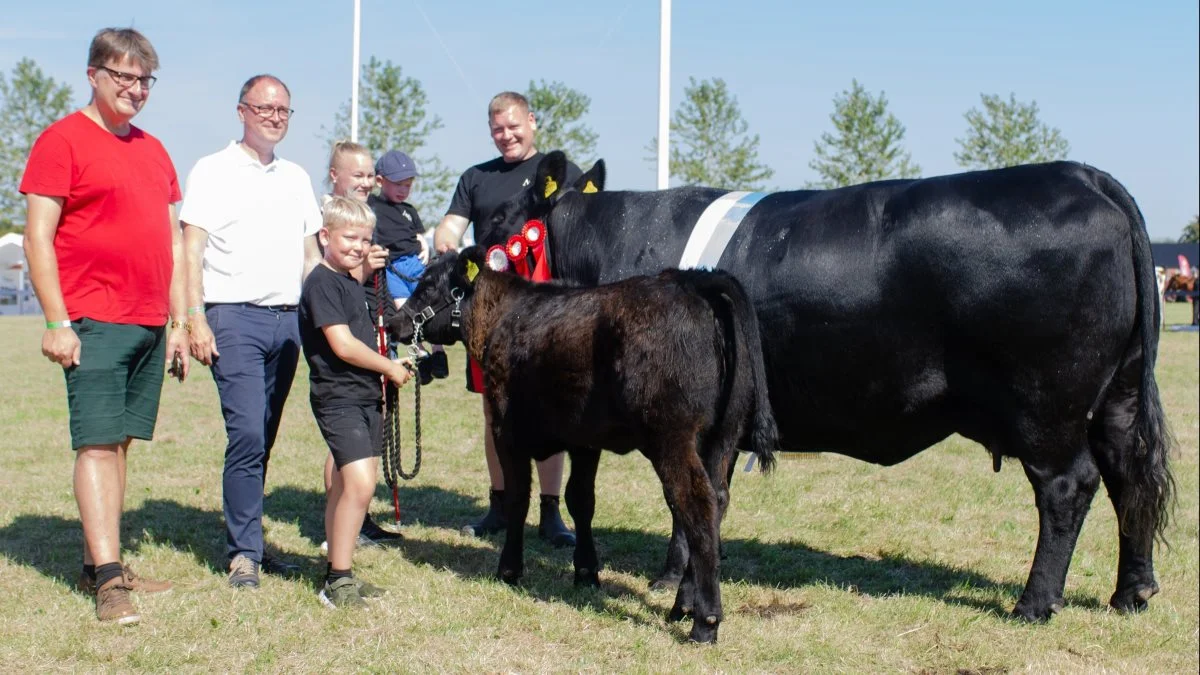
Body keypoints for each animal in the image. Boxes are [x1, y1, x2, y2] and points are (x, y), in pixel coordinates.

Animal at [393, 247, 777, 638]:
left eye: (427, 286)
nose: (394, 323)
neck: (506, 315)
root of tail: (694, 280)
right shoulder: (584, 440)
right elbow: (580, 501)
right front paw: (586, 572)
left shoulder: (506, 431)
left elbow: (518, 498)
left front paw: (509, 569)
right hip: (722, 437)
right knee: (718, 500)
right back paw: (682, 604)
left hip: (673, 436)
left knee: (695, 504)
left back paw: (704, 620)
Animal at [465, 151, 1171, 619]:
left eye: (498, 220)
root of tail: (1082, 175)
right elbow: (701, 498)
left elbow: (685, 500)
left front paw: (671, 580)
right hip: (1117, 394)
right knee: (1128, 475)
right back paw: (1131, 591)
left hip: (1046, 404)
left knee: (1068, 487)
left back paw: (1034, 603)